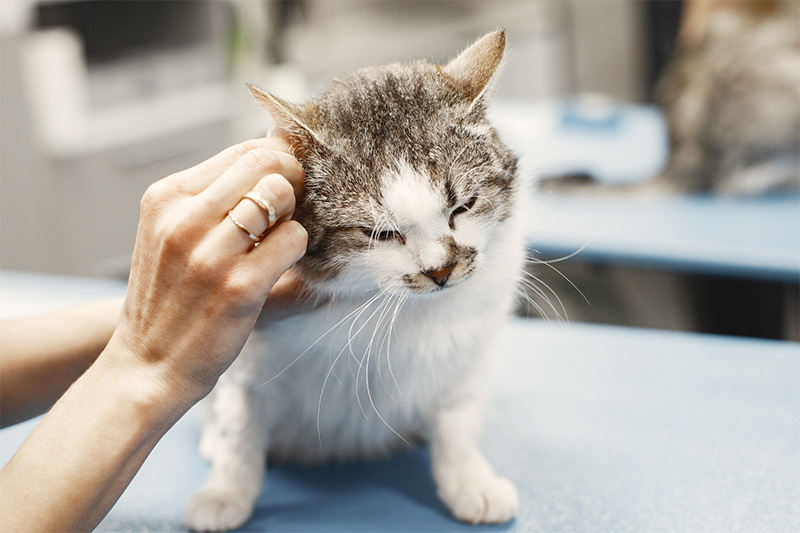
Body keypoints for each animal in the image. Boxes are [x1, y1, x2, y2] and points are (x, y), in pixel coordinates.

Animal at [185, 31, 528, 528]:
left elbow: (457, 420)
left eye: (463, 206)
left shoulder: (462, 359)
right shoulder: (247, 360)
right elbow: (240, 428)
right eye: (380, 233)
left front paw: (470, 480)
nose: (440, 270)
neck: (388, 309)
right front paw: (225, 491)